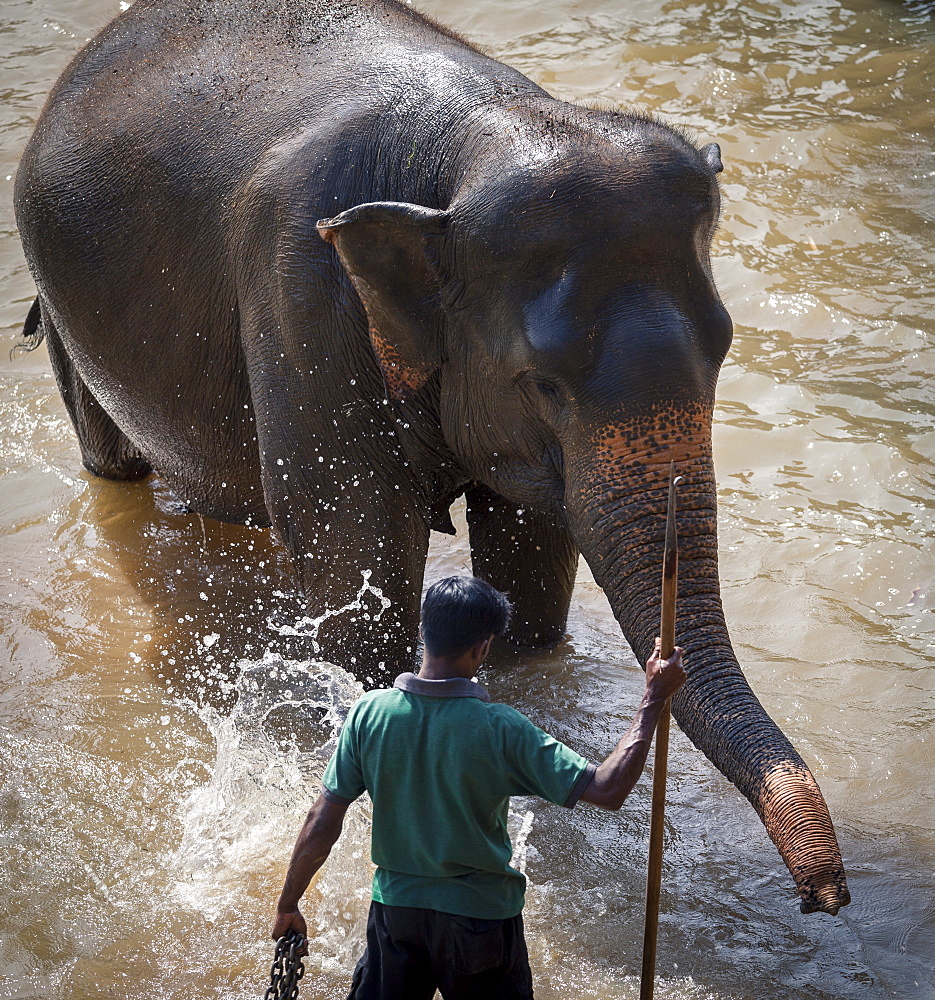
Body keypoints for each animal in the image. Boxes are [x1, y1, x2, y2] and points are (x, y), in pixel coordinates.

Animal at [14, 0, 852, 916]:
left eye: (725, 346)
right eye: (543, 382)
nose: (824, 896)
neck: (469, 143)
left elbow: (529, 559)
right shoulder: (299, 299)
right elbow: (358, 571)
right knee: (112, 466)